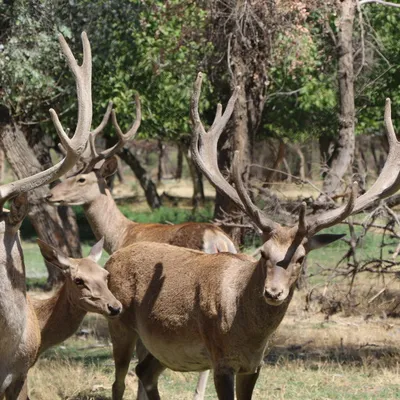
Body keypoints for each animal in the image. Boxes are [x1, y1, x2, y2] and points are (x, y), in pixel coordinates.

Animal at [101, 72, 400, 400]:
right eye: (264, 253)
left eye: (300, 258)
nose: (273, 292)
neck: (248, 334)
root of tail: (111, 259)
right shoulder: (221, 360)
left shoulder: (254, 365)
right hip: (118, 322)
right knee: (119, 380)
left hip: (160, 347)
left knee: (145, 372)